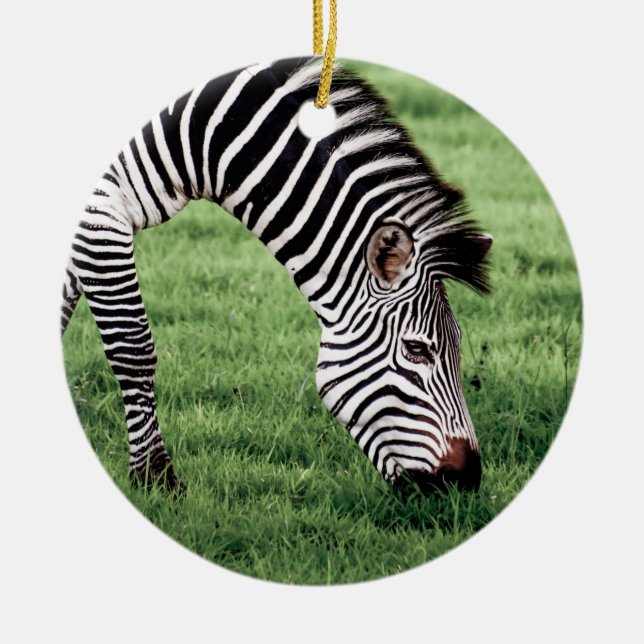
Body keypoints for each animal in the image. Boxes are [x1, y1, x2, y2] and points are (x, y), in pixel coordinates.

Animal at [61, 57, 492, 495]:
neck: (207, 135)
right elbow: (132, 349)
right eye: (416, 349)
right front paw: (155, 475)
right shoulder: (105, 205)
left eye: (458, 346)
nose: (467, 481)